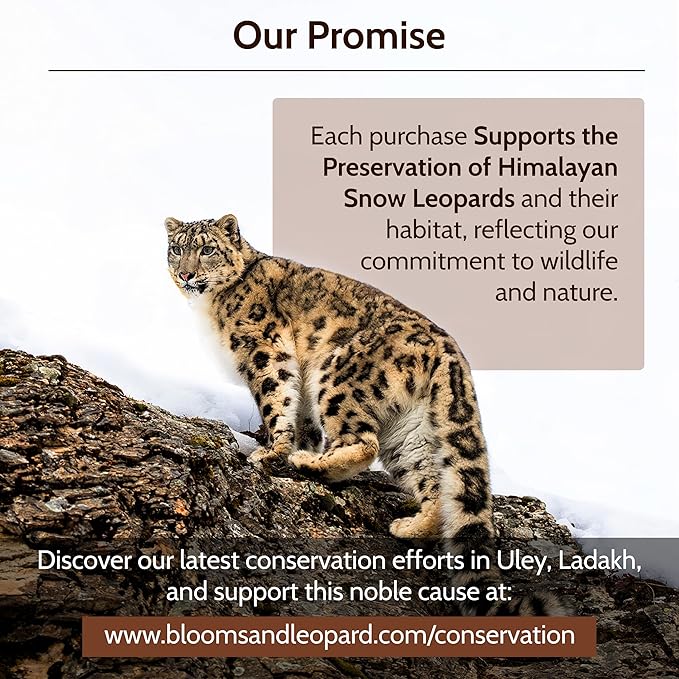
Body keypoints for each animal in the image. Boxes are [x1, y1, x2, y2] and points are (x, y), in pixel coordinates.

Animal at [165, 212, 562, 615]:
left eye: (208, 249)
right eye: (177, 249)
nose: (185, 273)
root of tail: (450, 351)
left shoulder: (264, 352)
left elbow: (277, 400)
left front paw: (273, 451)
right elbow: (302, 417)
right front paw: (296, 445)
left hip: (337, 376)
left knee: (363, 442)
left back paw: (312, 464)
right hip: (410, 431)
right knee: (433, 483)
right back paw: (407, 526)